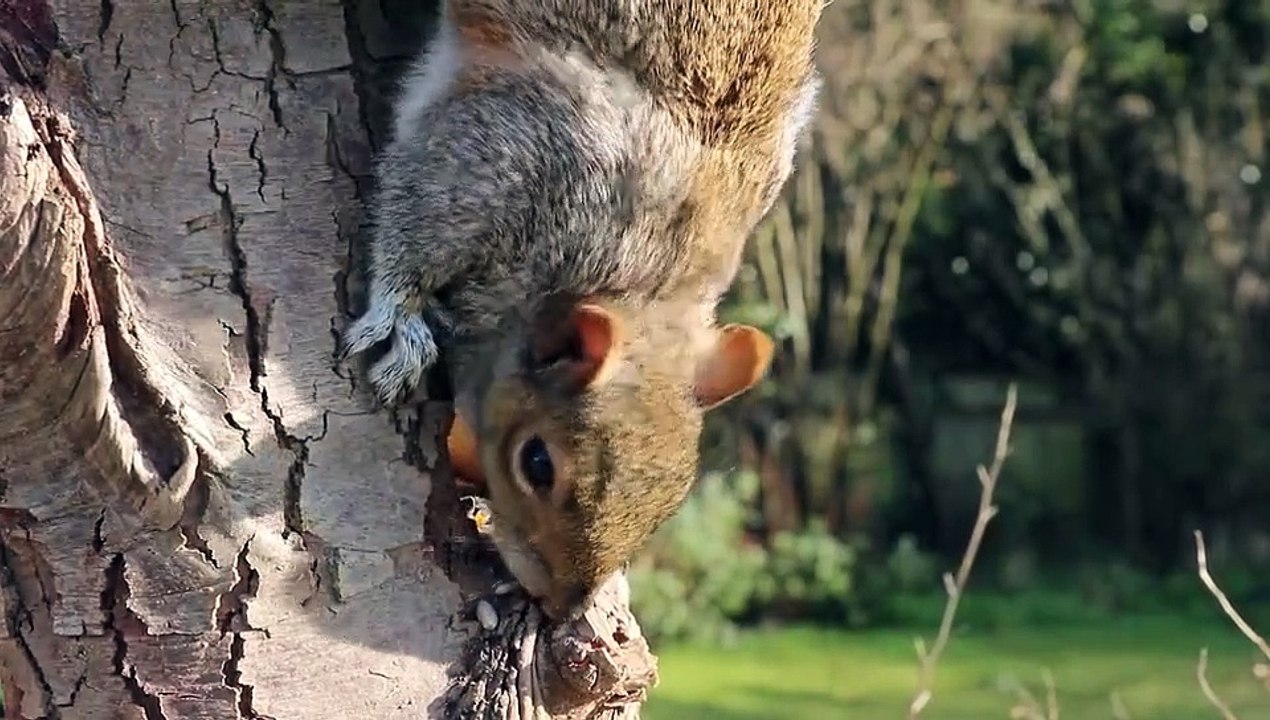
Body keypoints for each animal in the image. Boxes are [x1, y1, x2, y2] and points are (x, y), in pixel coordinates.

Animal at [342, 0, 823, 620]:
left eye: (673, 499)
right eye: (537, 464)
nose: (563, 606)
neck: (647, 280)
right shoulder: (500, 153)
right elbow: (416, 222)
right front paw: (399, 319)